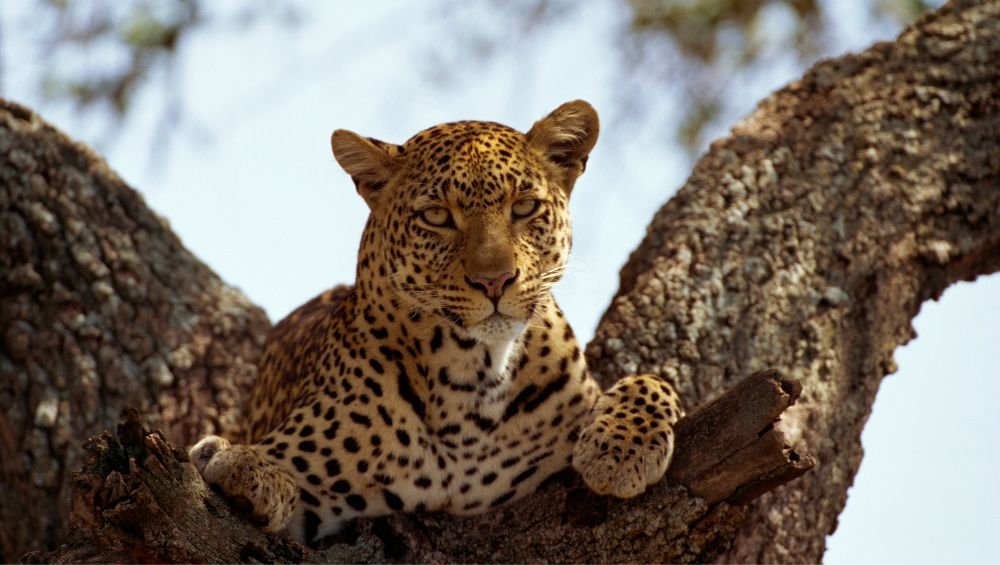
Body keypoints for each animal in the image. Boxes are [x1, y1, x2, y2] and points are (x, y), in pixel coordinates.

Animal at [189, 100, 684, 547]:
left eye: (524, 208)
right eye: (437, 216)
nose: (494, 280)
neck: (473, 376)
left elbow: (653, 381)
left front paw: (619, 451)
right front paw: (240, 465)